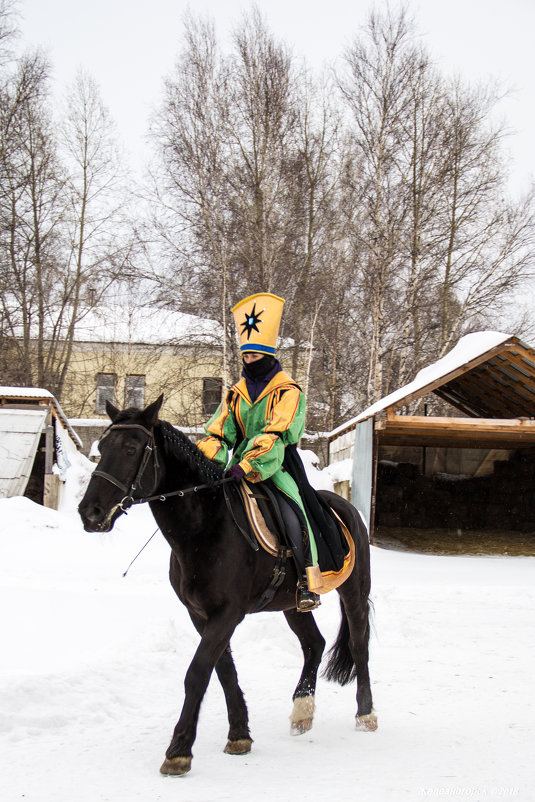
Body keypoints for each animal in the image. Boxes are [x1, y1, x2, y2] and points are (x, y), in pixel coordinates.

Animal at [78, 396, 376, 776]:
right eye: (102, 448)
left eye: (131, 449)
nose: (89, 512)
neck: (204, 526)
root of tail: (345, 507)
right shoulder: (201, 614)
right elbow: (223, 671)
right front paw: (239, 735)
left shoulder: (228, 613)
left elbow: (197, 673)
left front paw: (179, 750)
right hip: (293, 604)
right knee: (314, 644)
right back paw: (302, 712)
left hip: (354, 592)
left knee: (359, 644)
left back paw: (366, 714)